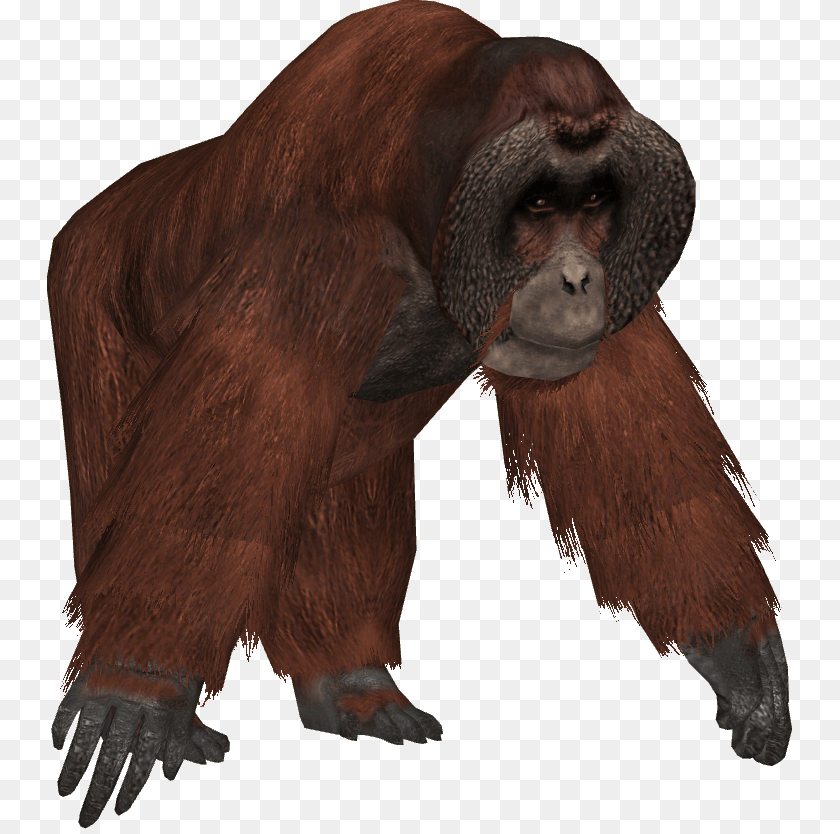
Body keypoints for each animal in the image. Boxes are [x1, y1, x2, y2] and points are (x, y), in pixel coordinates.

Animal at [46, 1, 790, 826]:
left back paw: (353, 687)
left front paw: (738, 652)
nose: (577, 278)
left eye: (595, 201)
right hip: (88, 281)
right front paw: (136, 691)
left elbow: (647, 480)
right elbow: (211, 488)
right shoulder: (311, 261)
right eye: (539, 203)